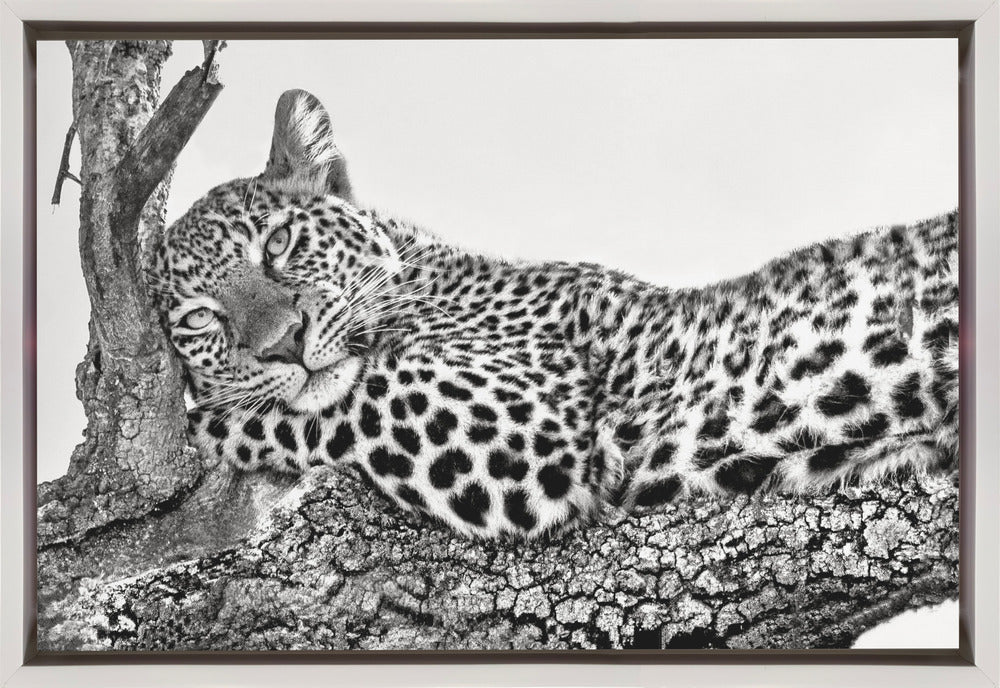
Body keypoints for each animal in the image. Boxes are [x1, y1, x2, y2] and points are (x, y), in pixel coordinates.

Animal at [149, 89, 959, 541]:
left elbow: (335, 402)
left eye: (278, 244)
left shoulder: (523, 426)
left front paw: (202, 421)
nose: (284, 345)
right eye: (198, 322)